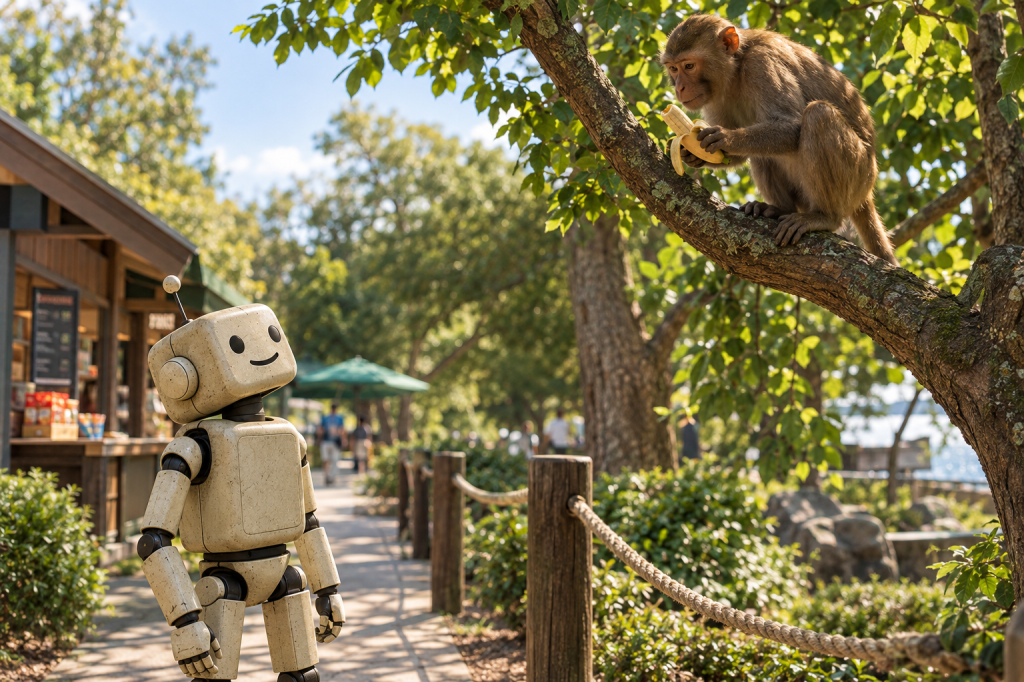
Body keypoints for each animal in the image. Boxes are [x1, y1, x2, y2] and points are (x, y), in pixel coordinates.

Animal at [660, 14, 899, 266]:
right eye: (673, 68)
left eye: (689, 66)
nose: (679, 87)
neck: (737, 67)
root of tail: (867, 191)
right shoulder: (715, 95)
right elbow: (736, 156)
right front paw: (691, 154)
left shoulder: (763, 63)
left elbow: (791, 125)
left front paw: (725, 138)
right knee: (762, 152)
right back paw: (778, 209)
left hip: (858, 175)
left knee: (818, 115)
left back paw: (824, 217)